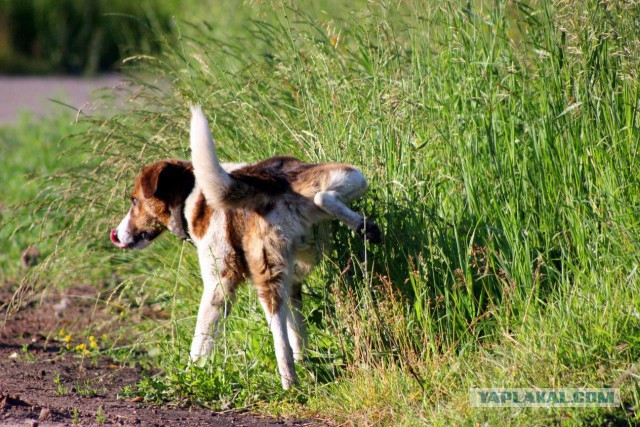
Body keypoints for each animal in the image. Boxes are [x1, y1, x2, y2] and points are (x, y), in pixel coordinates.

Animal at [110, 107, 380, 392]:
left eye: (134, 200)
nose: (116, 235)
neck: (190, 194)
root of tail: (268, 183)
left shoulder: (219, 285)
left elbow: (201, 342)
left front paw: (189, 376)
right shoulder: (293, 282)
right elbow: (297, 332)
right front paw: (307, 364)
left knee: (278, 341)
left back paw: (288, 384)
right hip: (345, 178)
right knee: (324, 198)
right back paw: (365, 226)